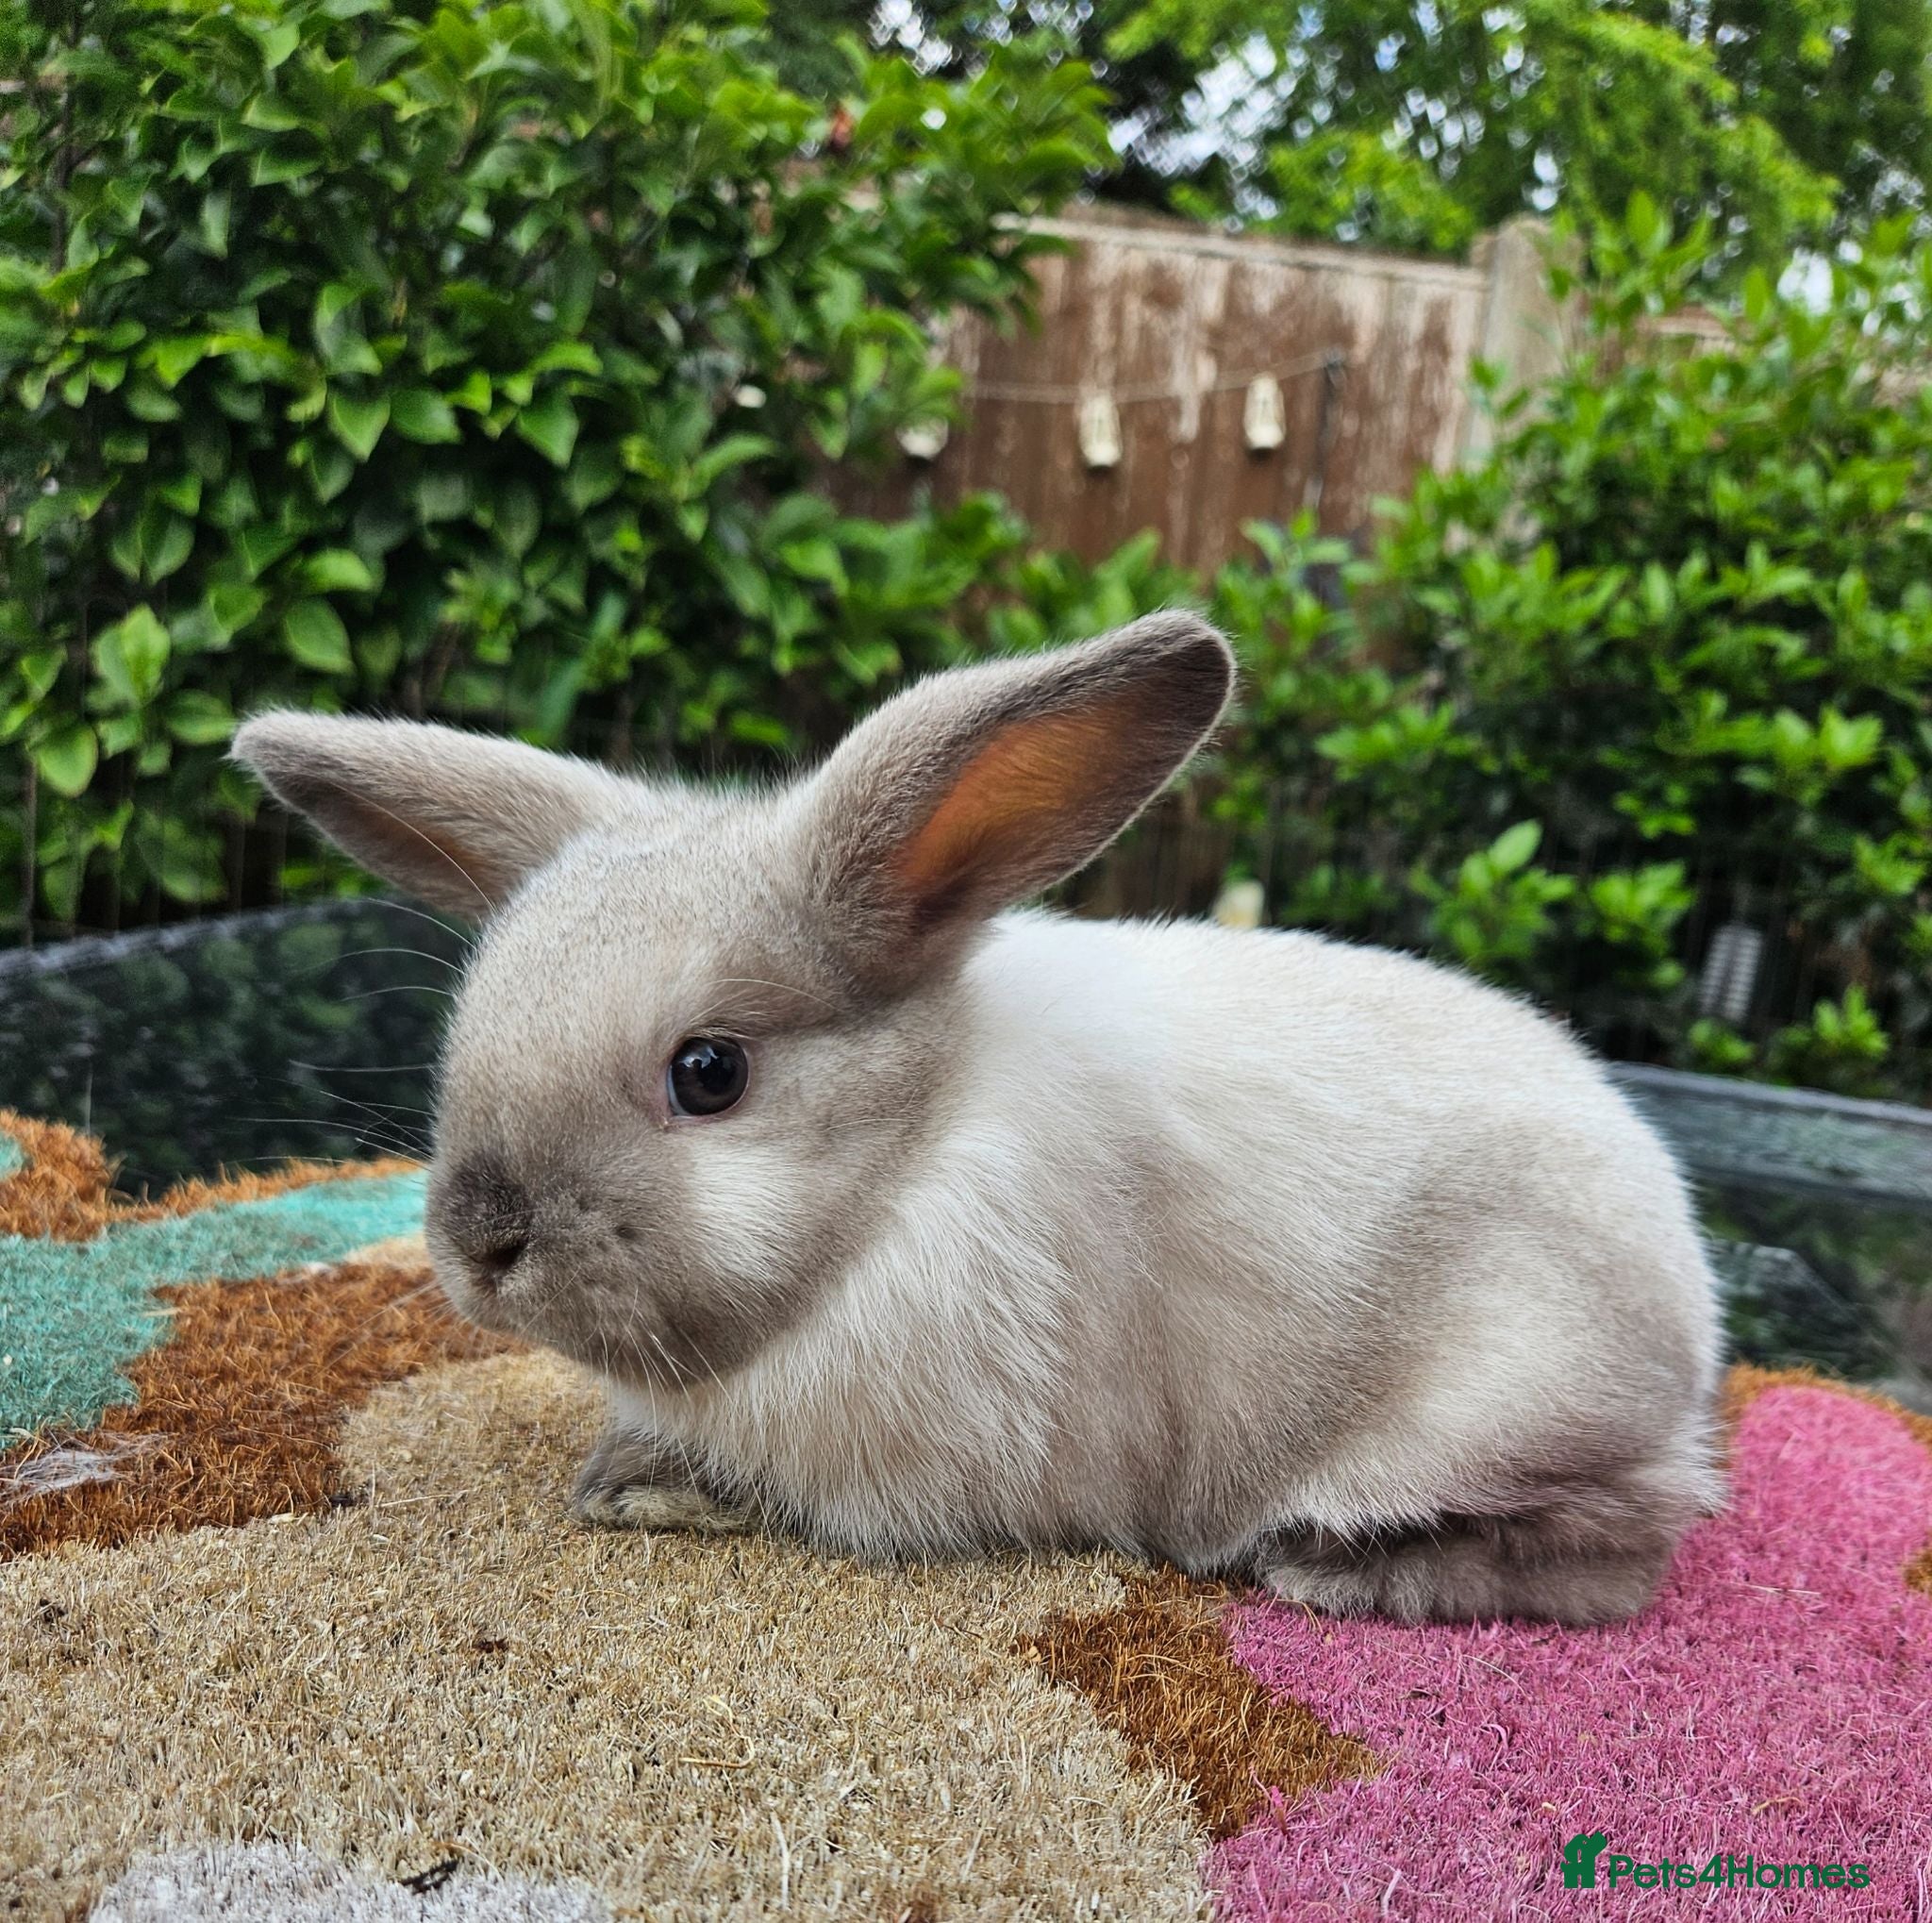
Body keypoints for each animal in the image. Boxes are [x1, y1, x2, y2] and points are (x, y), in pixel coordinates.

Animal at [233, 612, 1724, 1624]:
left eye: (708, 1072)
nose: (481, 1238)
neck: (910, 1164)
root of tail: (1687, 1312)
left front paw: (645, 1492)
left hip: (1503, 1401)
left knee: (1624, 1549)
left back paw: (1331, 1566)